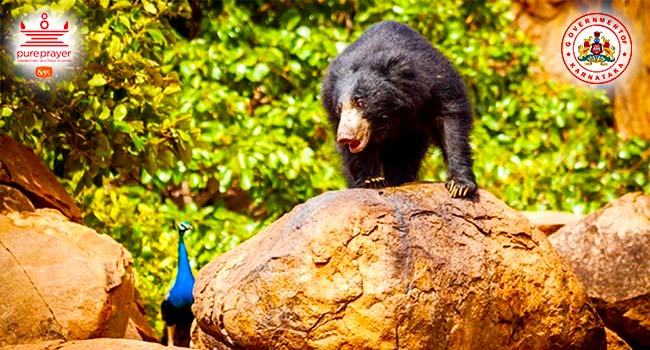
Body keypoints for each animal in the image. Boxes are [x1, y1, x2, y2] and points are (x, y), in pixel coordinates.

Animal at [320, 20, 476, 198]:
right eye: (339, 108)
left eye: (360, 103)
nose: (345, 137)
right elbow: (355, 156)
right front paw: (372, 181)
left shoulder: (437, 83)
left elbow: (451, 125)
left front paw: (460, 186)